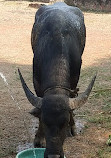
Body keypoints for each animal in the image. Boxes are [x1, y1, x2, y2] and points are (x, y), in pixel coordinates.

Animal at [18, 2, 96, 158]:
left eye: (64, 123)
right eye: (44, 121)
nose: (53, 155)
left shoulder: (74, 79)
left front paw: (72, 127)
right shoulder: (37, 82)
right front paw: (39, 138)